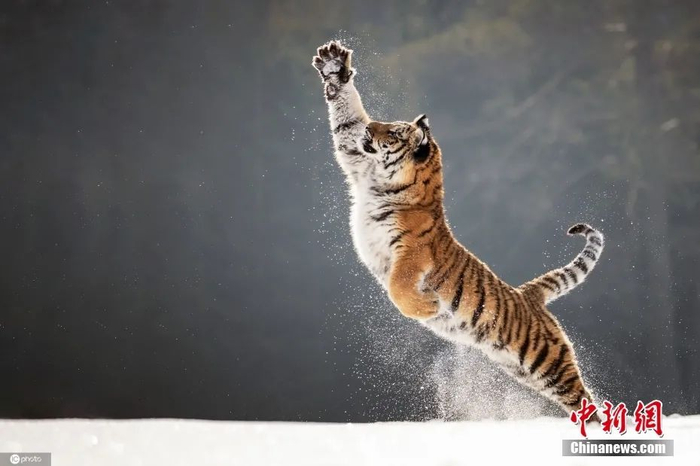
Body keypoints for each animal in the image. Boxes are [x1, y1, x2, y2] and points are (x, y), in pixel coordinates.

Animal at [312, 40, 604, 420]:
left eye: (393, 132)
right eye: (384, 126)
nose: (371, 128)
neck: (383, 183)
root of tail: (529, 295)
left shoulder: (411, 254)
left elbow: (399, 289)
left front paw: (429, 308)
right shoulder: (356, 160)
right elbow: (346, 122)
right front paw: (334, 67)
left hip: (549, 362)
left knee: (586, 399)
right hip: (523, 368)